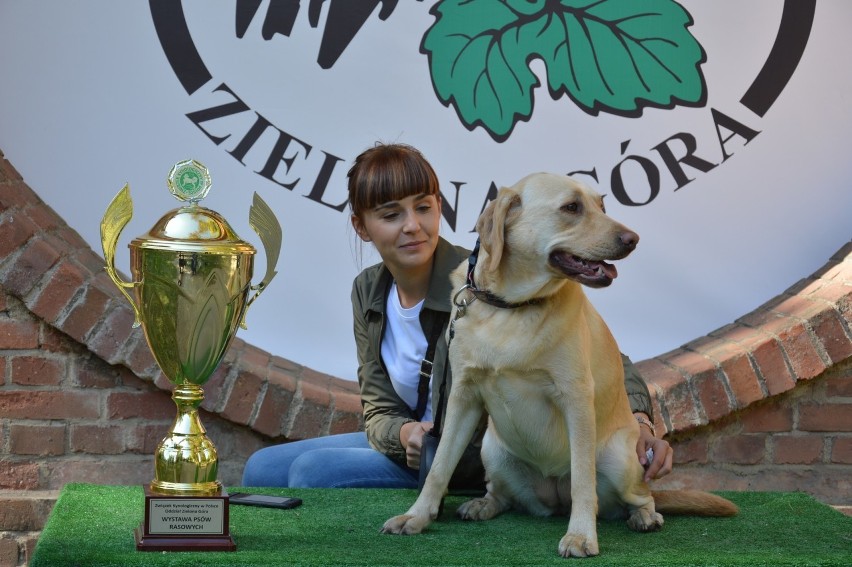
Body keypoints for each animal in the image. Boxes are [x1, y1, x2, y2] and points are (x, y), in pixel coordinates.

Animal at [382, 173, 736, 560]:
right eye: (571, 207)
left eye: (602, 205)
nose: (633, 239)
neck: (513, 307)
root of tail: (554, 497)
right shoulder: (463, 397)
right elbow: (439, 466)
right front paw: (416, 516)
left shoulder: (576, 398)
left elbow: (582, 479)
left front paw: (581, 536)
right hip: (494, 450)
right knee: (502, 494)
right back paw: (483, 505)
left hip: (619, 458)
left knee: (641, 496)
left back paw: (643, 516)